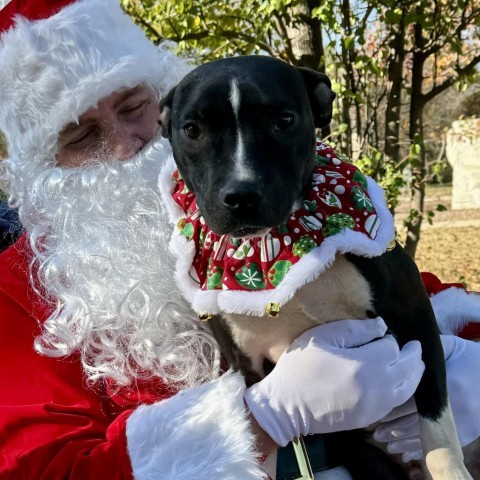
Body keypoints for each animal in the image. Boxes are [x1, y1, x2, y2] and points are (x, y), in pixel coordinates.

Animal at [159, 55, 470, 480]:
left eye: (284, 119)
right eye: (192, 130)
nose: (241, 196)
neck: (278, 244)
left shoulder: (414, 316)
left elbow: (436, 427)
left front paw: (449, 466)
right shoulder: (248, 366)